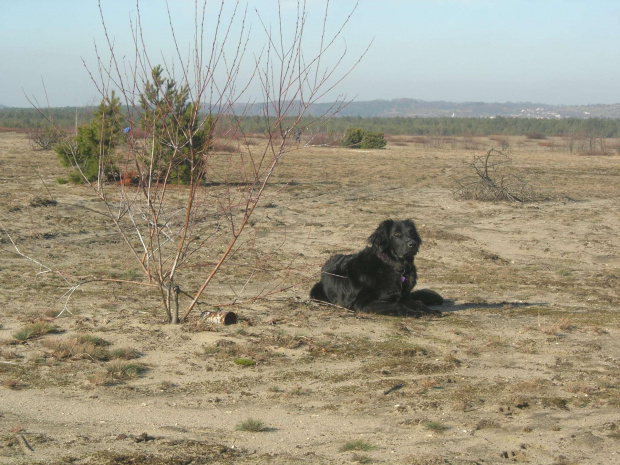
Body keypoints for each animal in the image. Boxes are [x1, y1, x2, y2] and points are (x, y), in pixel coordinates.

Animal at [308, 218, 444, 316]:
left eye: (412, 233)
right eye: (397, 233)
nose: (413, 244)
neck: (394, 267)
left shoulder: (404, 297)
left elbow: (418, 303)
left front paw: (430, 311)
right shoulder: (361, 303)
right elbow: (396, 305)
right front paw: (412, 313)